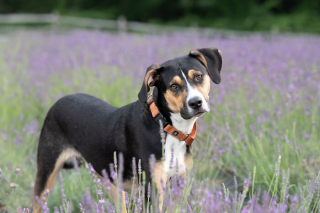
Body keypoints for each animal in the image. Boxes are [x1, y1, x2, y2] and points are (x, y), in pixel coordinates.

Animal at [32, 47, 222, 212]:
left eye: (198, 76)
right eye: (174, 86)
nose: (195, 103)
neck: (168, 127)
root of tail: (57, 102)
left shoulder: (180, 186)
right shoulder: (152, 190)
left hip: (111, 182)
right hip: (46, 173)